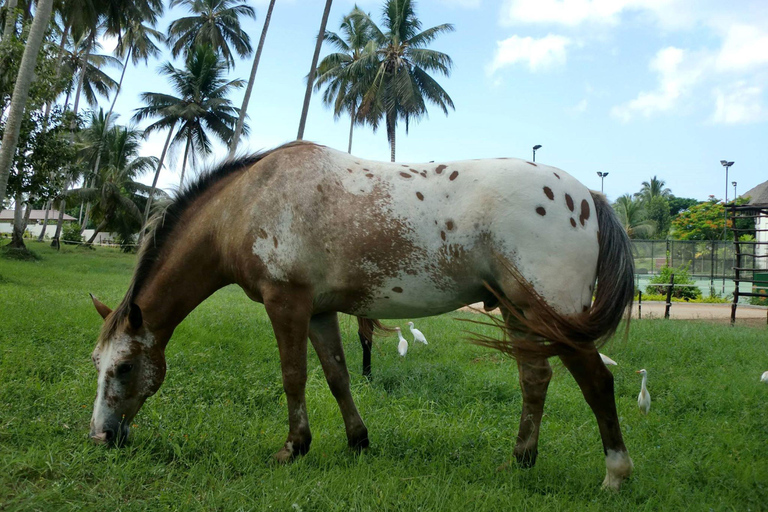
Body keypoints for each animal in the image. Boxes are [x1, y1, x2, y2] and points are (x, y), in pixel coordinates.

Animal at [88, 139, 636, 488]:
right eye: (98, 365)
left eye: (125, 368)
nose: (101, 437)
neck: (247, 202)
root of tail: (589, 196)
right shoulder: (318, 312)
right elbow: (337, 376)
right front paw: (357, 441)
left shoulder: (286, 303)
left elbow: (293, 376)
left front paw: (294, 447)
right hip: (520, 314)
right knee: (535, 380)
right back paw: (520, 461)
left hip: (551, 315)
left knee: (596, 382)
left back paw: (614, 475)